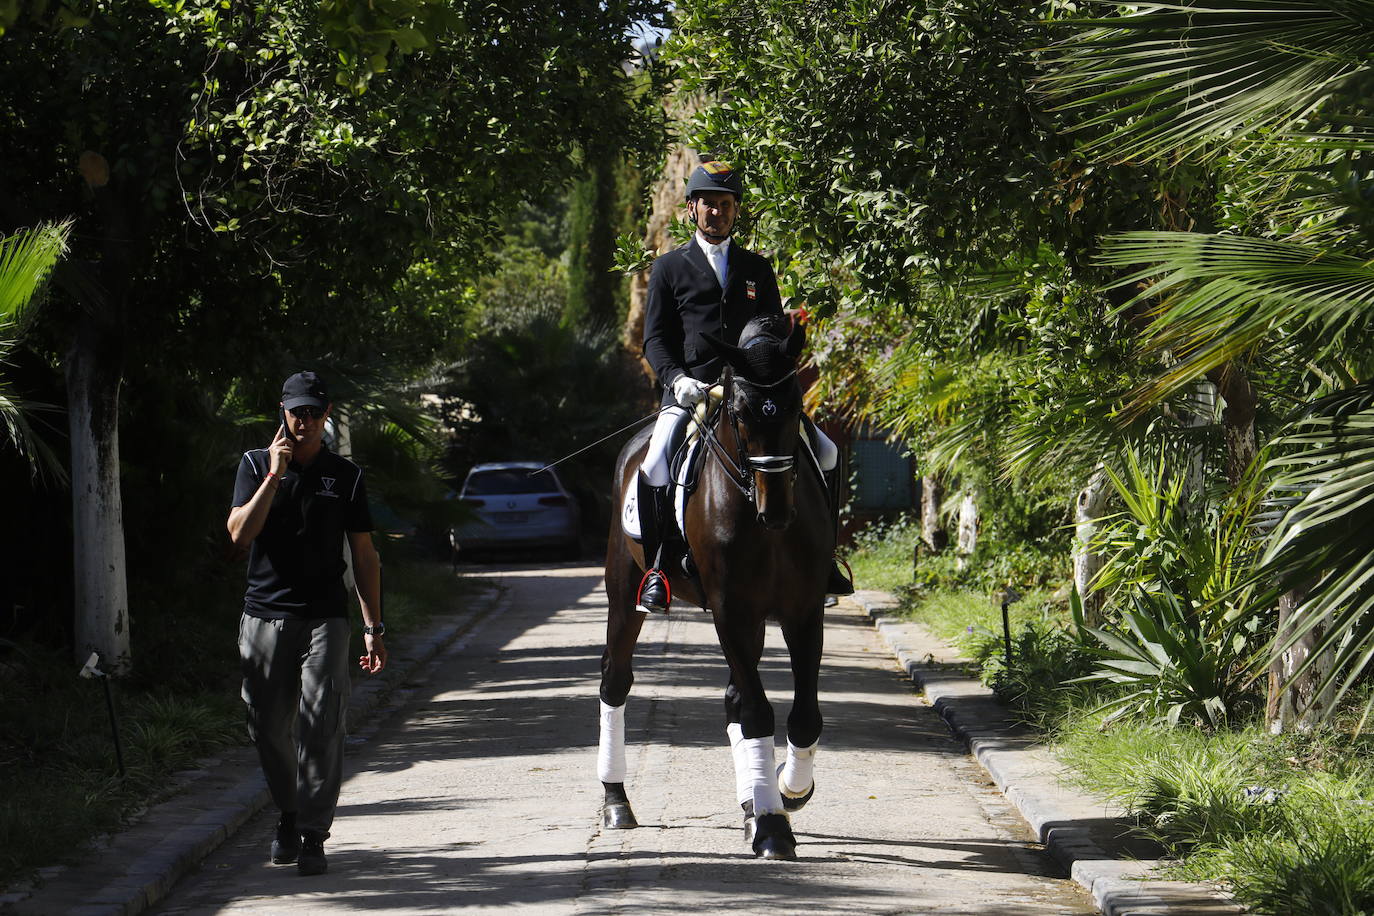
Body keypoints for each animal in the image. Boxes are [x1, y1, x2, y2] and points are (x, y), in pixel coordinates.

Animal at [599, 315, 829, 862]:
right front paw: (773, 828)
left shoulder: (803, 609)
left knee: (733, 699)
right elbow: (759, 713)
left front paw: (788, 792)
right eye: (742, 413)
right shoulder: (732, 610)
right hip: (624, 594)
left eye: (795, 406)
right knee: (615, 681)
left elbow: (803, 716)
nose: (777, 511)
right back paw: (617, 802)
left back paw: (752, 803)